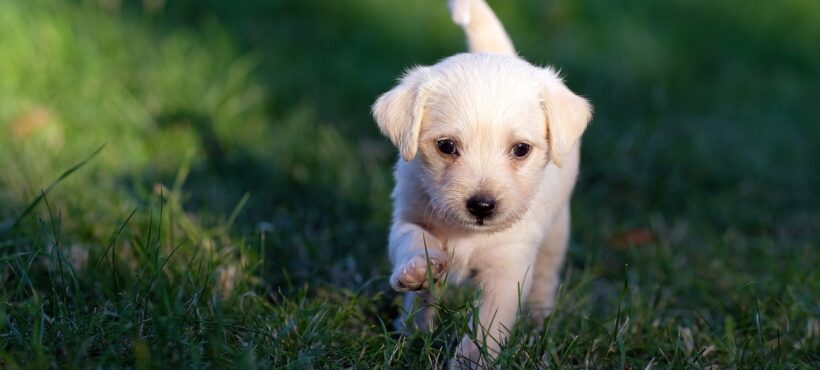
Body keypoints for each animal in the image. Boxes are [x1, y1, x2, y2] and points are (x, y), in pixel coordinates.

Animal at [374, 0, 592, 364]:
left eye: (521, 149)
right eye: (446, 146)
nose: (482, 205)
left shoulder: (507, 269)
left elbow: (486, 327)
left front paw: (469, 361)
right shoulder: (409, 215)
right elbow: (413, 240)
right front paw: (418, 270)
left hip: (557, 230)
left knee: (546, 273)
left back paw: (539, 317)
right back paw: (411, 327)